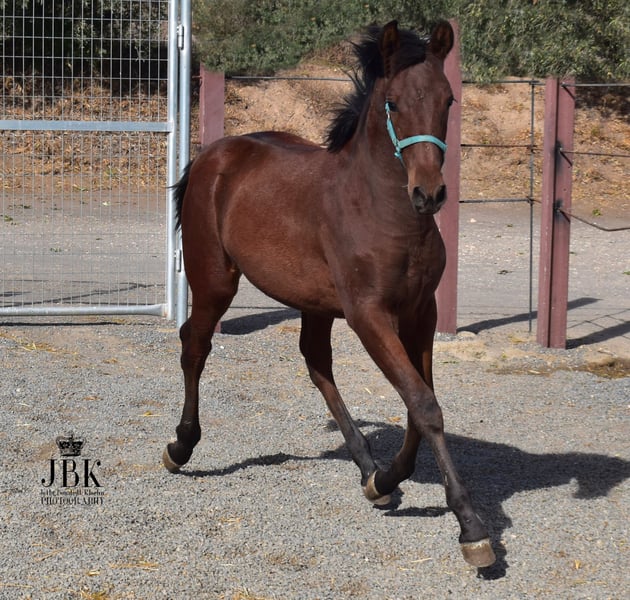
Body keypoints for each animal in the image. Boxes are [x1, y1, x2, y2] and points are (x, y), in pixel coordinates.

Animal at [164, 20, 496, 568]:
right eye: (393, 103)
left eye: (448, 100)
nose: (429, 193)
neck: (385, 213)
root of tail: (215, 153)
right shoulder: (369, 314)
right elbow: (423, 404)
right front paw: (472, 529)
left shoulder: (420, 313)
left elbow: (418, 403)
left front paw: (387, 477)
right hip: (214, 280)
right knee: (195, 343)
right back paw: (181, 446)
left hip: (313, 303)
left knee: (316, 362)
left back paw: (367, 469)